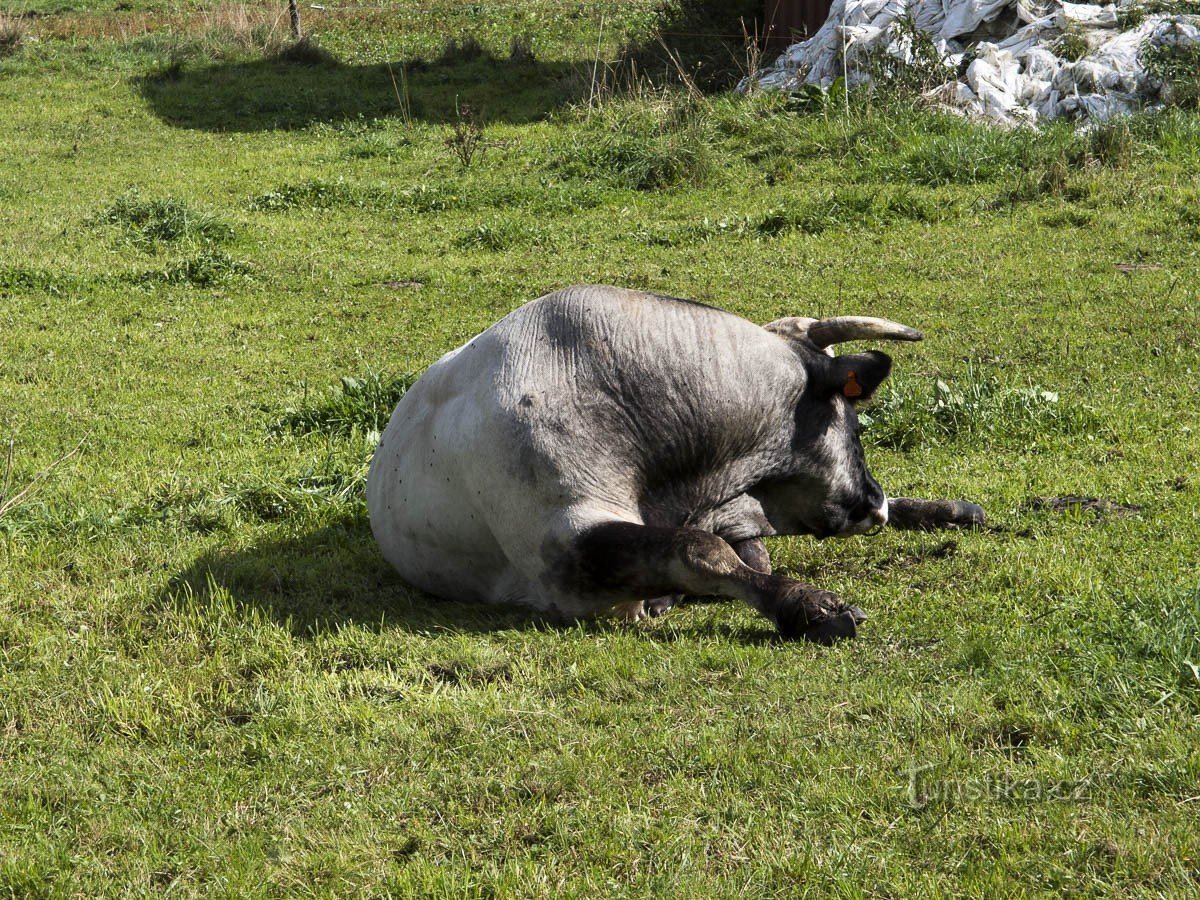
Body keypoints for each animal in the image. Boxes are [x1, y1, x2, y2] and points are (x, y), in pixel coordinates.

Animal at [367, 285, 984, 643]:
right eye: (853, 424)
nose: (873, 501)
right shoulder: (568, 556)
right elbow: (697, 549)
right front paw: (810, 606)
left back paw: (948, 509)